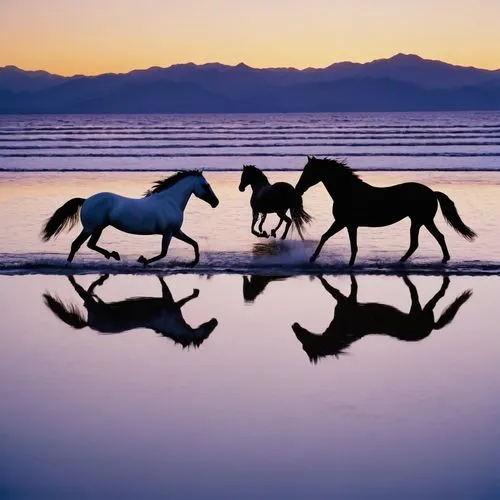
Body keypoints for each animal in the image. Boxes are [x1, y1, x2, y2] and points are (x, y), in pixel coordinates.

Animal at [40, 170, 217, 266]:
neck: (170, 201)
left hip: (98, 228)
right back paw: (71, 264)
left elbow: (194, 243)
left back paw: (112, 255)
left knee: (90, 244)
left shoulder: (175, 231)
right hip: (91, 228)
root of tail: (86, 200)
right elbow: (163, 253)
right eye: (206, 185)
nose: (216, 202)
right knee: (77, 244)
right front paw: (142, 260)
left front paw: (194, 262)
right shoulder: (168, 232)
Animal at [44, 274, 219, 348]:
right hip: (94, 306)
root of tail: (90, 324)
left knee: (87, 294)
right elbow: (168, 288)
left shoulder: (172, 304)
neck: (171, 324)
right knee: (83, 292)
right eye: (207, 334)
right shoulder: (169, 303)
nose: (215, 321)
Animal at [292, 274, 470, 364]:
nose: (294, 325)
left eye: (305, 346)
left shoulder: (345, 301)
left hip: (420, 310)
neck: (345, 328)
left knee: (434, 298)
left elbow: (331, 289)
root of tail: (431, 328)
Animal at [296, 156, 476, 266]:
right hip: (420, 221)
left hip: (421, 220)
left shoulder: (346, 223)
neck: (348, 192)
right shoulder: (345, 223)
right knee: (429, 239)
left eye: (309, 171)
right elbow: (326, 236)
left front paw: (316, 259)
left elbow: (349, 245)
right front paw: (313, 258)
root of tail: (432, 192)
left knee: (426, 240)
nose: (298, 189)